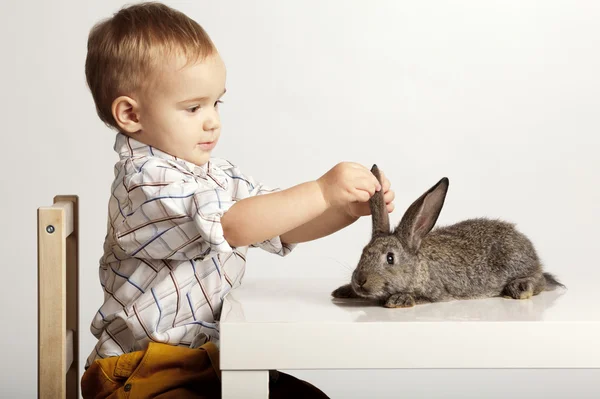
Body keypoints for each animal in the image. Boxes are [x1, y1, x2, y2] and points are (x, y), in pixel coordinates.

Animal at [330, 164, 564, 308]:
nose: (360, 280)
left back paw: (519, 288)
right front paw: (343, 291)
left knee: (540, 280)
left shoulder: (435, 292)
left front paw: (399, 299)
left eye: (390, 258)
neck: (418, 266)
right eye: (363, 252)